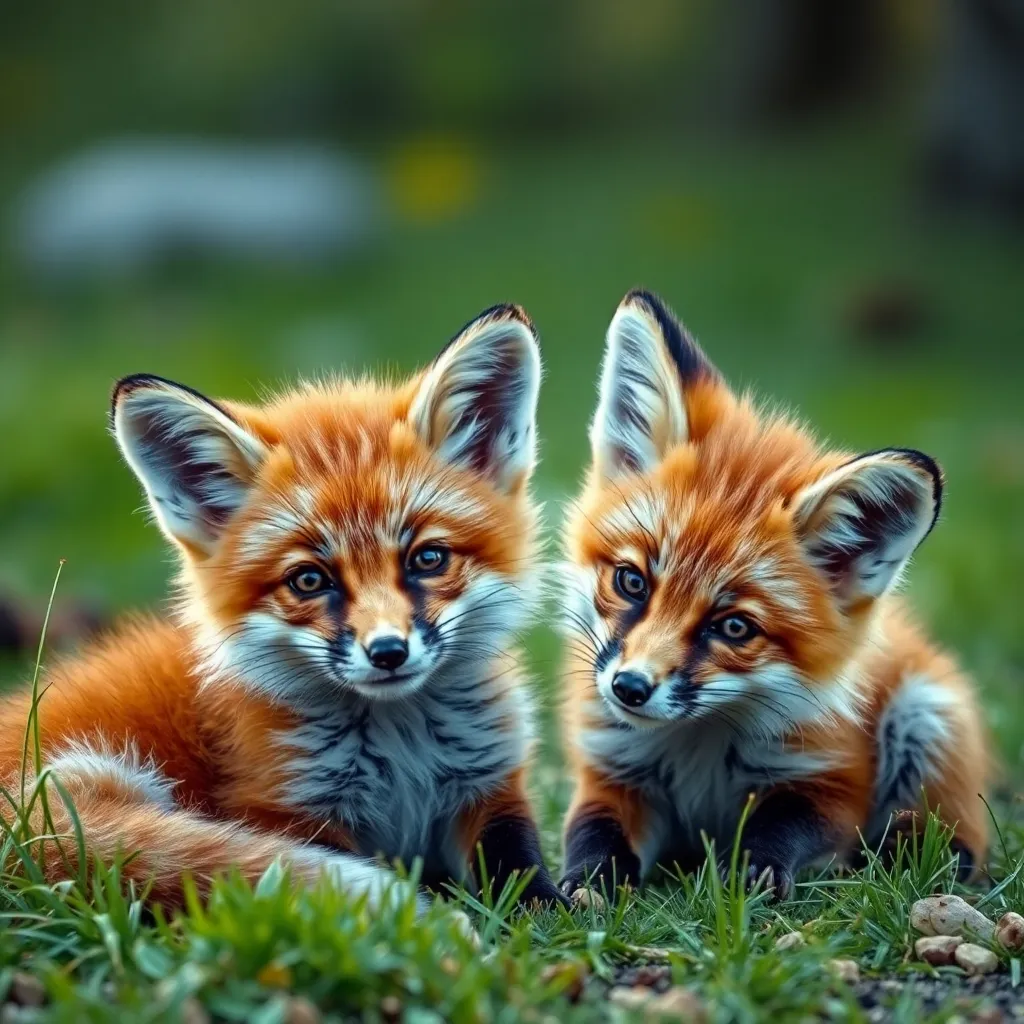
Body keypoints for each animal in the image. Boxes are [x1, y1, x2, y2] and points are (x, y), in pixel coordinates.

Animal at [0, 303, 566, 910]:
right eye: (309, 580)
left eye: (428, 558)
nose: (388, 651)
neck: (403, 760)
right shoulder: (286, 811)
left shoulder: (490, 783)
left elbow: (520, 873)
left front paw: (555, 905)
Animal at [558, 288, 989, 900]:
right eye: (632, 581)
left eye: (734, 626)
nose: (630, 688)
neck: (699, 750)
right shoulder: (612, 771)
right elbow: (591, 831)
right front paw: (587, 884)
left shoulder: (830, 782)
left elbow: (778, 832)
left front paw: (751, 878)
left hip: (923, 714)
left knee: (953, 848)